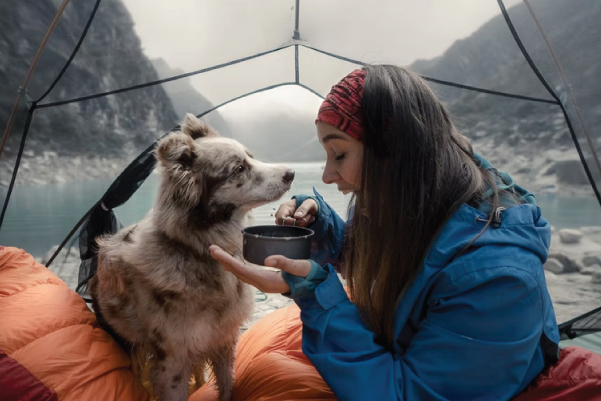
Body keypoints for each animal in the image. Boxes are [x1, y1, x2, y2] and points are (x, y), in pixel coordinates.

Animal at [88, 112, 294, 400]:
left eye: (251, 157)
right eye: (238, 169)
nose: (291, 173)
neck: (195, 250)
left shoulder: (223, 340)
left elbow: (227, 386)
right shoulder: (173, 360)